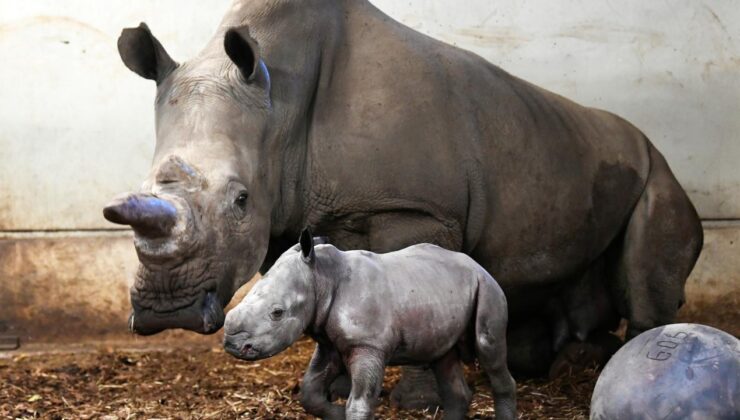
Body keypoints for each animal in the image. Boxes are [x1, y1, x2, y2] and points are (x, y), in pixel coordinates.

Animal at [223, 230, 516, 420]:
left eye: (277, 313)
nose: (232, 344)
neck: (322, 276)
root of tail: (477, 265)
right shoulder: (329, 342)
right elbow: (310, 391)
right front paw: (336, 414)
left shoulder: (368, 344)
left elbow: (359, 402)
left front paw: (346, 412)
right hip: (445, 292)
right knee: (444, 359)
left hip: (488, 288)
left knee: (489, 349)